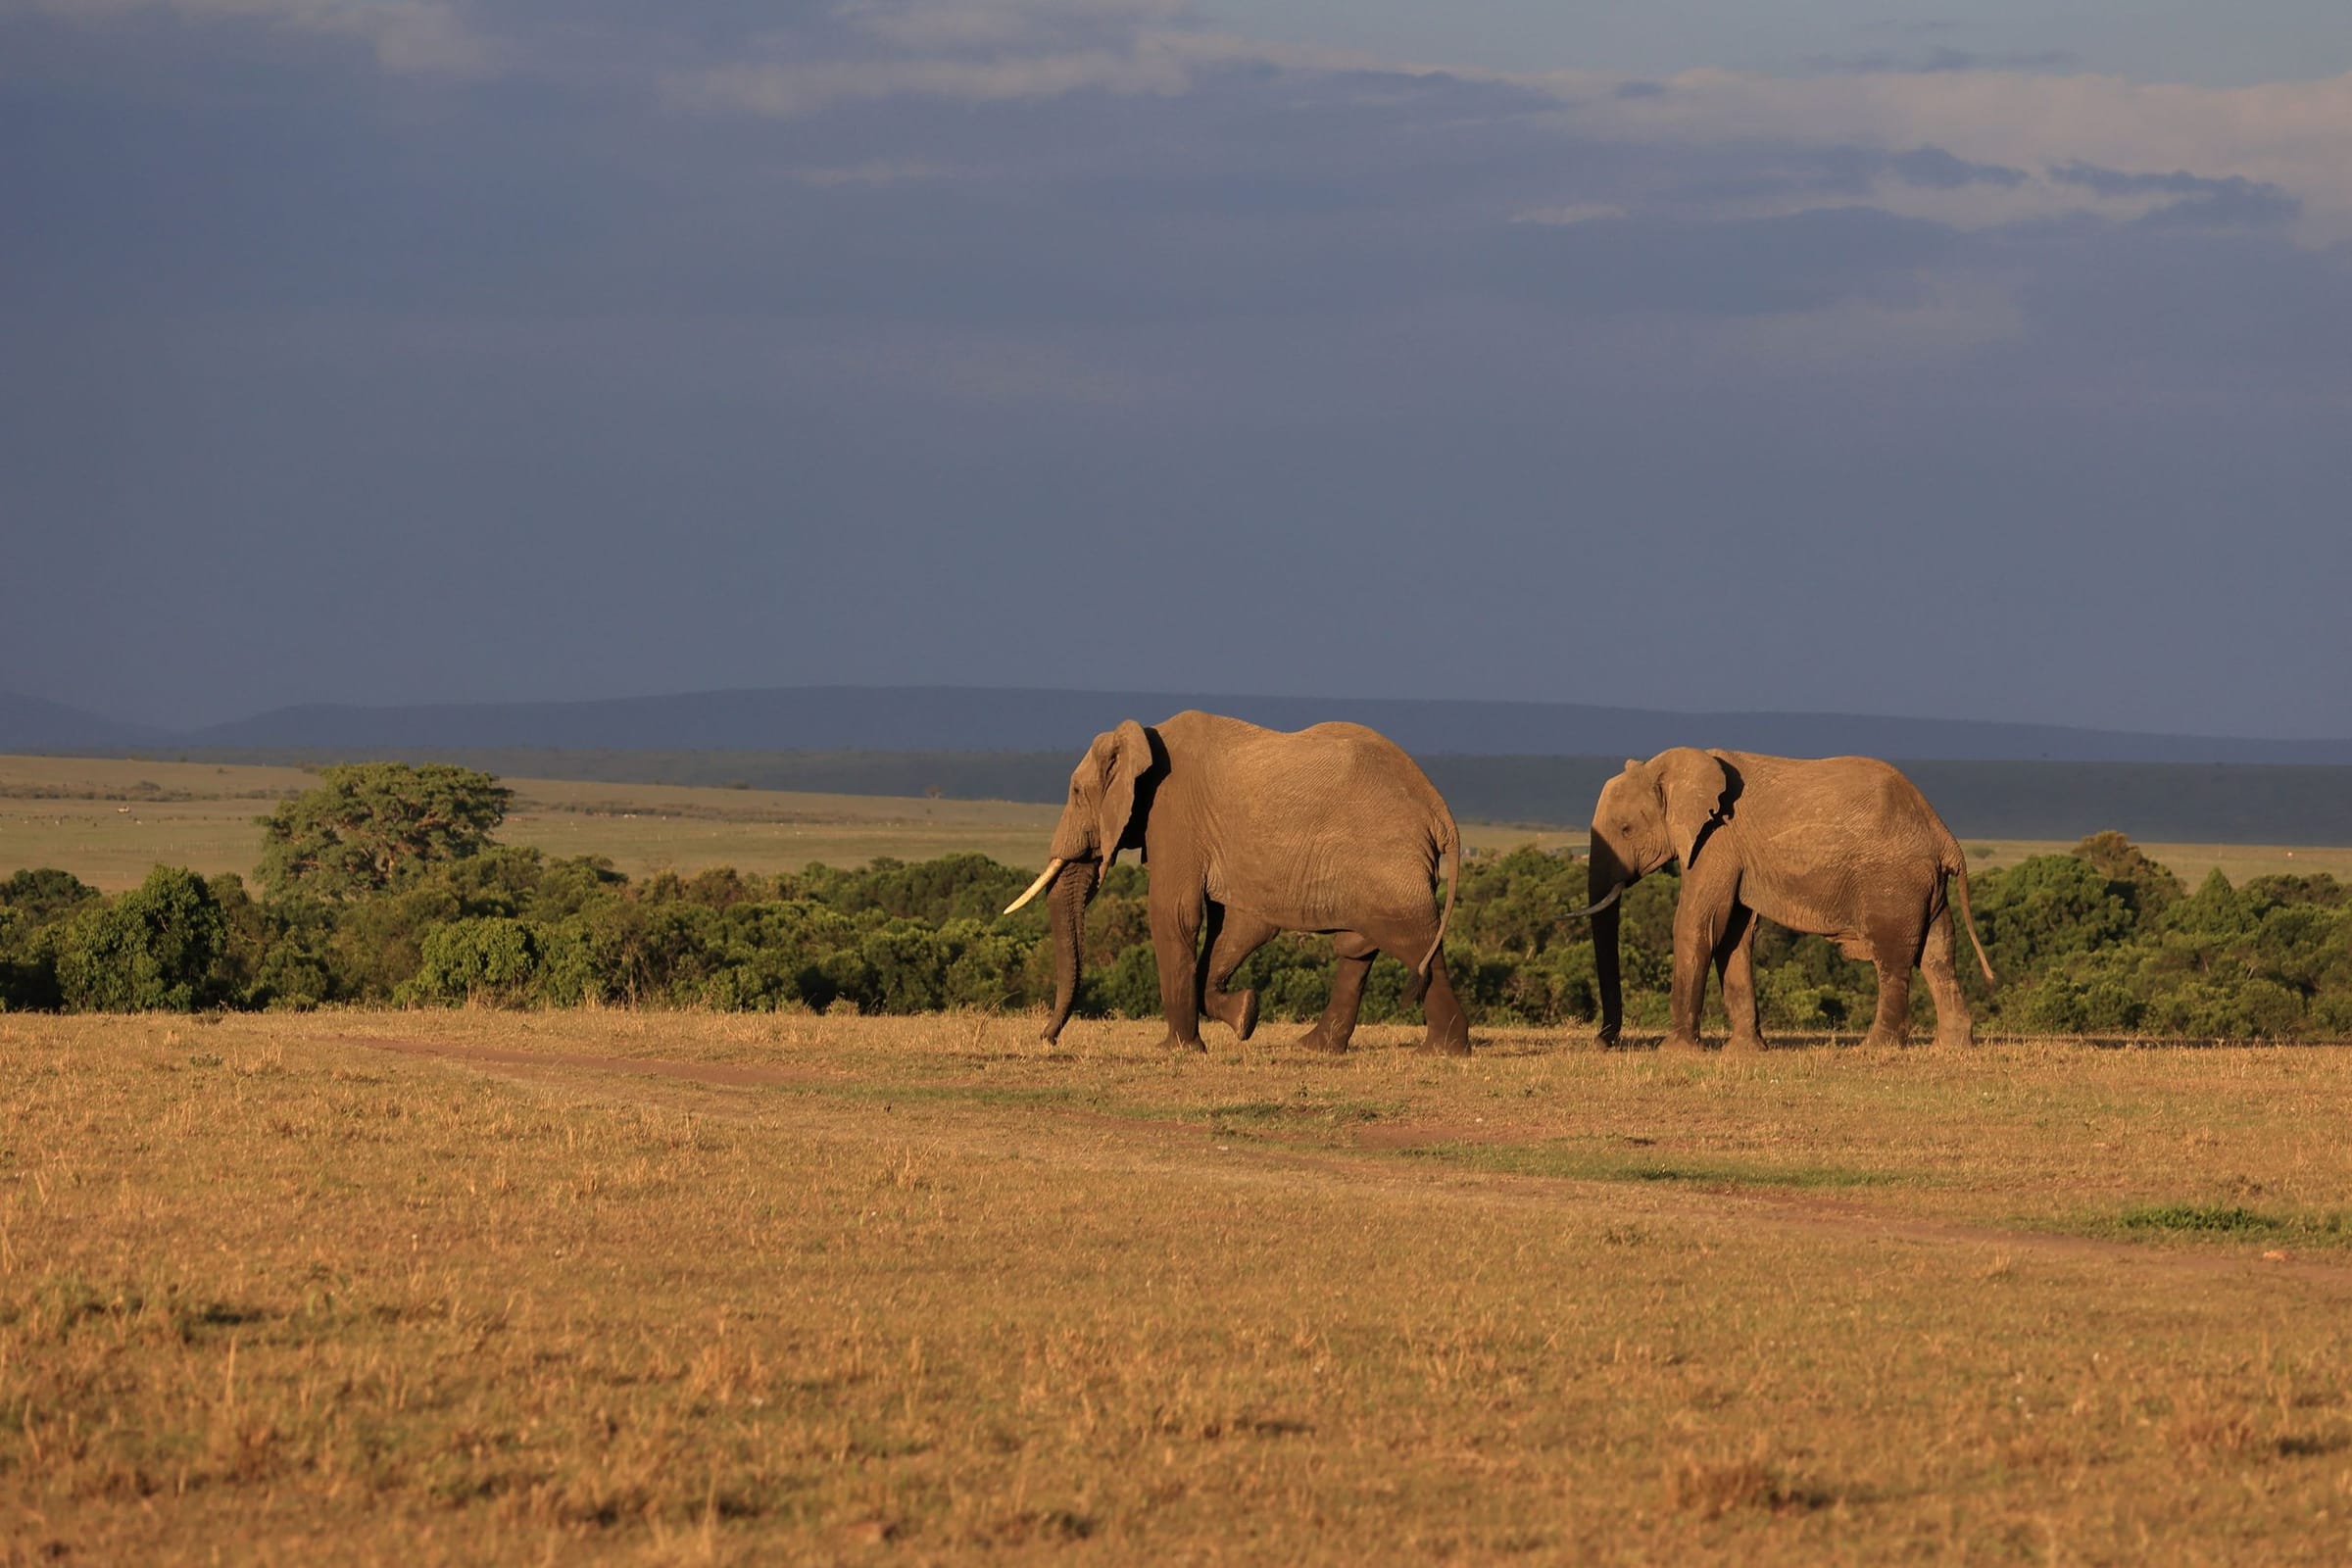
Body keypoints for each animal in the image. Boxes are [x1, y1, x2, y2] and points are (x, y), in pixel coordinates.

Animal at [1001, 710, 1472, 1054]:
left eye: (1077, 793)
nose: (1047, 1038)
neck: (1142, 738)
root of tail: (1439, 809)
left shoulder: (1173, 813)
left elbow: (1174, 914)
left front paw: (1177, 1050)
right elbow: (1237, 927)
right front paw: (1245, 1015)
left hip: (1386, 857)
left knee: (1411, 938)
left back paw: (1442, 1052)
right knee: (1359, 946)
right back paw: (1314, 1048)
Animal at [1584, 749, 1995, 1052]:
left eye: (1626, 829)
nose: (1604, 1042)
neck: (1666, 769)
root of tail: (1945, 836)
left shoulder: (1716, 841)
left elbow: (1697, 925)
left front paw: (1676, 1052)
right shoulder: (1733, 852)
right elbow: (1735, 937)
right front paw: (1745, 1053)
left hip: (1894, 881)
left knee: (1893, 958)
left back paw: (1873, 1048)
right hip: (1924, 885)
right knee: (1938, 953)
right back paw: (1951, 1048)